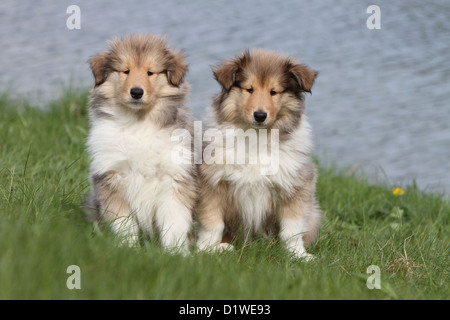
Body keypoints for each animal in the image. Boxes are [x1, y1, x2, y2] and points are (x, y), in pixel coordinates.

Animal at [85, 33, 197, 252]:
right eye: (125, 71)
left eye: (150, 72)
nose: (136, 92)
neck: (138, 123)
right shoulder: (112, 178)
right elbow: (123, 222)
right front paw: (129, 249)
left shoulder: (174, 178)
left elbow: (174, 221)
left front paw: (176, 252)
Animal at [197, 49, 320, 260]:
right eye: (249, 89)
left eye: (274, 92)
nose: (260, 115)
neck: (256, 136)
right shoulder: (213, 182)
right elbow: (212, 222)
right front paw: (207, 249)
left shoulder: (296, 185)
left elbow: (292, 228)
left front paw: (298, 255)